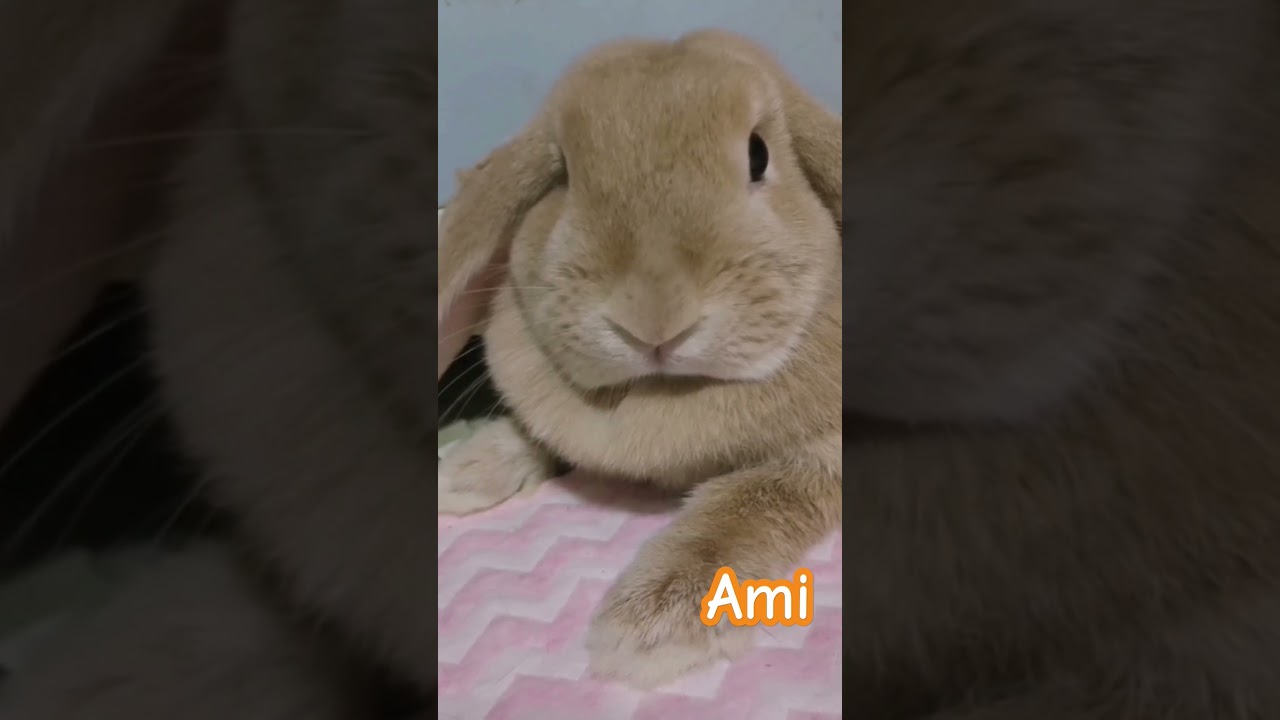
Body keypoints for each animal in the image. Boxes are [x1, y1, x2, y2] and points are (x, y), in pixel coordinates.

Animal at [435, 29, 843, 689]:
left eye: (758, 156)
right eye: (562, 174)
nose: (653, 319)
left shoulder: (819, 460)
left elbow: (751, 503)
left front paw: (655, 624)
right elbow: (537, 430)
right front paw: (466, 469)